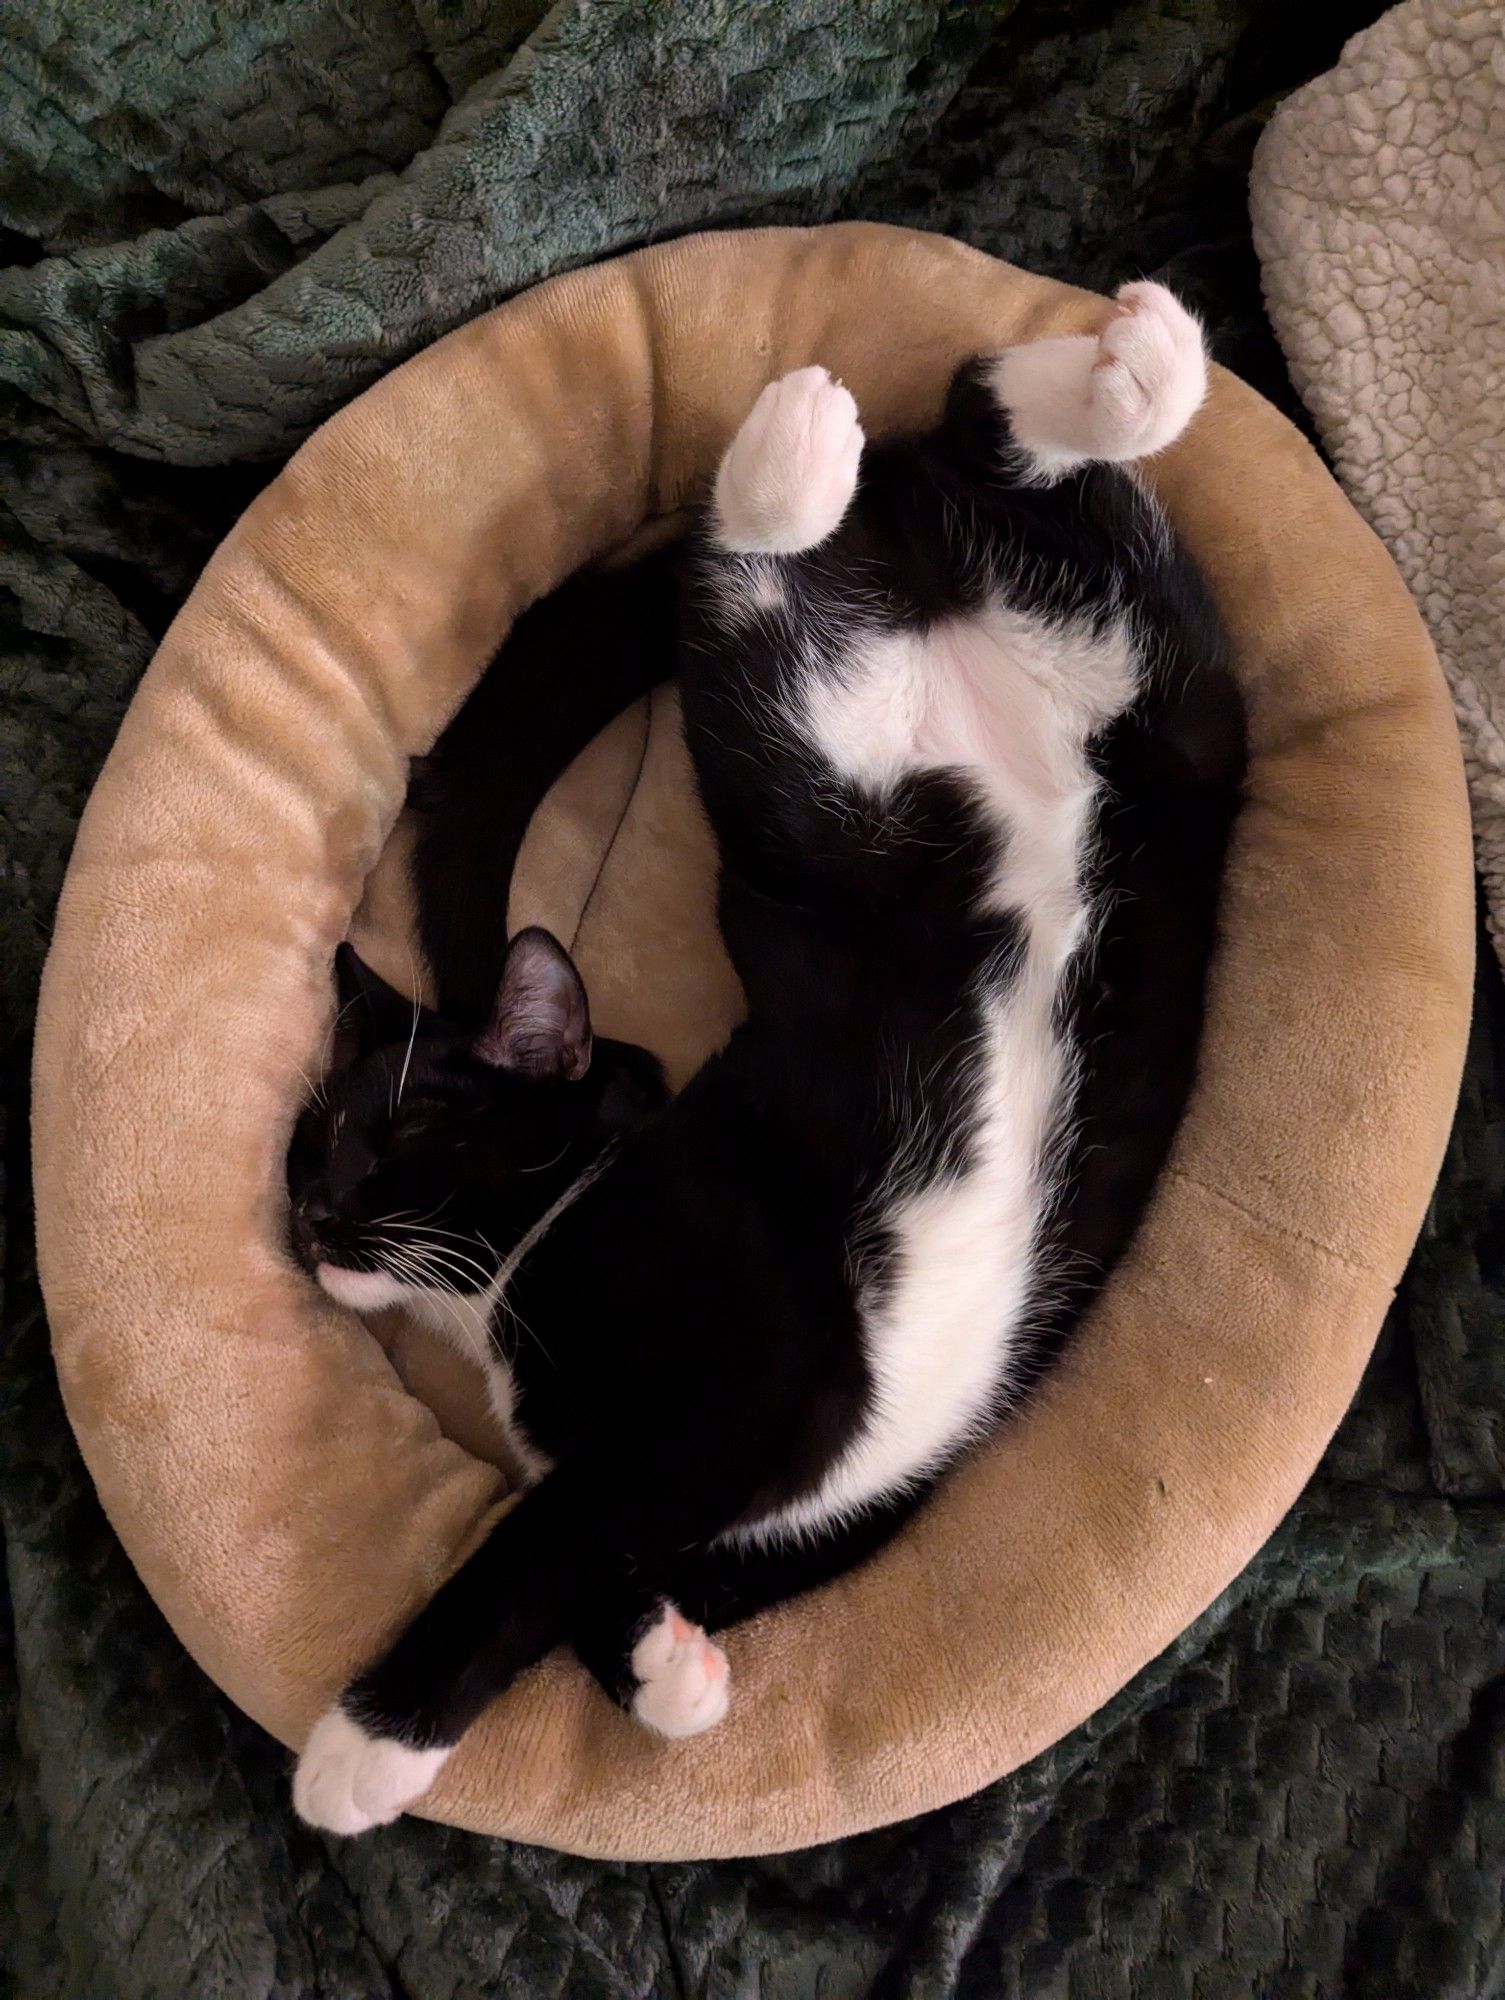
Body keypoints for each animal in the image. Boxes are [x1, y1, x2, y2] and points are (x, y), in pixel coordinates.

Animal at [288, 282, 1240, 1832]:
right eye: (308, 1146)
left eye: (406, 1130)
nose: (312, 1212)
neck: (529, 1267)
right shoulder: (733, 1480)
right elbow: (609, 1557)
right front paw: (666, 1671)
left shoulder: (751, 1382)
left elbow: (532, 1549)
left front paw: (365, 1746)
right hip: (1123, 708)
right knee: (983, 452)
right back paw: (1102, 374)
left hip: (873, 784)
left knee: (775, 552)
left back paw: (810, 444)